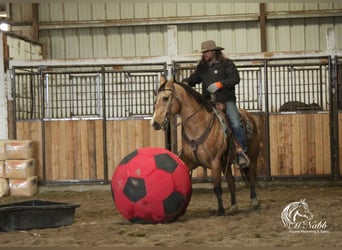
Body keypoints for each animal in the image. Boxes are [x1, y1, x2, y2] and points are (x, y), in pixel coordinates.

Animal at [151, 75, 260, 215]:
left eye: (165, 98)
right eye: (155, 99)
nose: (155, 123)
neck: (198, 126)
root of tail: (249, 117)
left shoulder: (215, 162)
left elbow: (217, 187)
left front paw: (220, 210)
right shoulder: (189, 161)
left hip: (253, 155)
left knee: (251, 175)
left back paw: (254, 200)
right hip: (225, 163)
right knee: (231, 182)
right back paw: (233, 206)